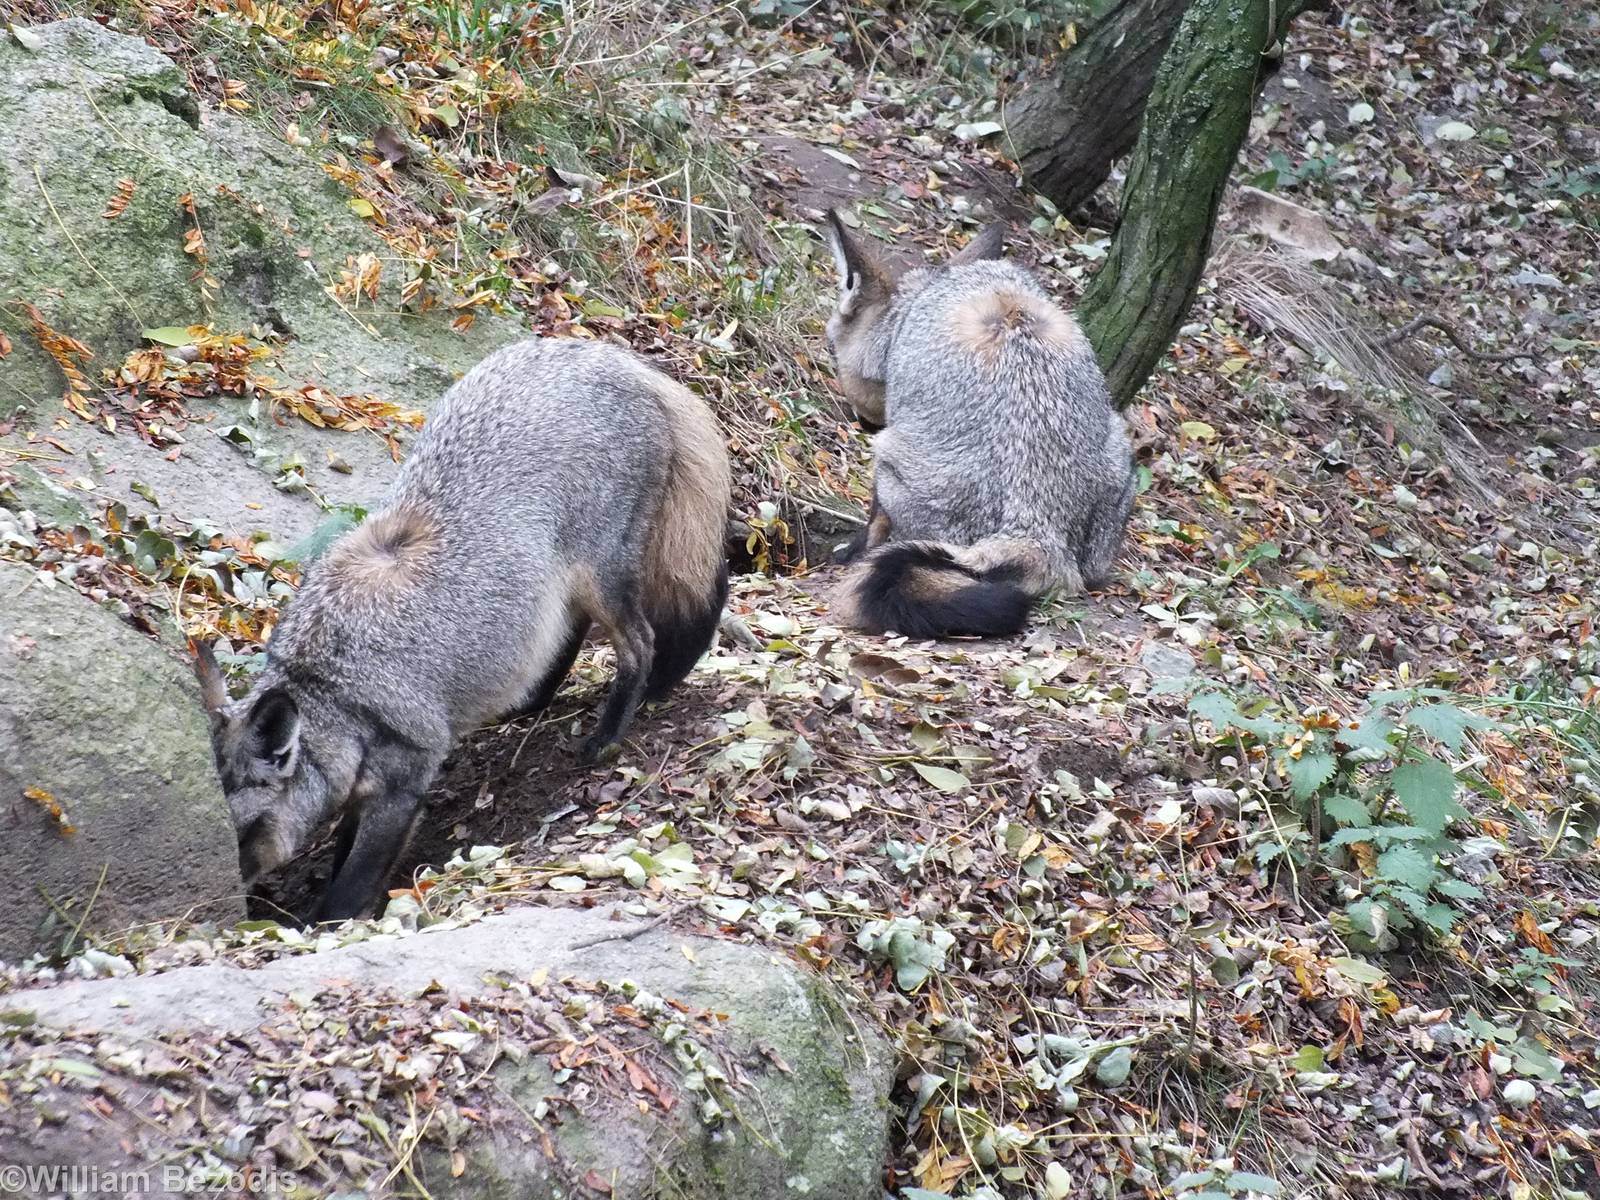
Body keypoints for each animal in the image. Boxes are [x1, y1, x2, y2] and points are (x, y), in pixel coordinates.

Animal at [191, 337, 732, 923]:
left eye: (243, 834)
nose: (219, 907)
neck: (333, 686)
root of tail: (616, 356)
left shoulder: (403, 786)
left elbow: (350, 886)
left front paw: (325, 923)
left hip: (601, 578)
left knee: (642, 644)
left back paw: (607, 735)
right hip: (557, 588)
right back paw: (530, 702)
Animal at [821, 209, 1136, 639]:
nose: (858, 419)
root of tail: (1035, 531)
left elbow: (875, 523)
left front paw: (851, 552)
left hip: (889, 457)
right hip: (1121, 449)